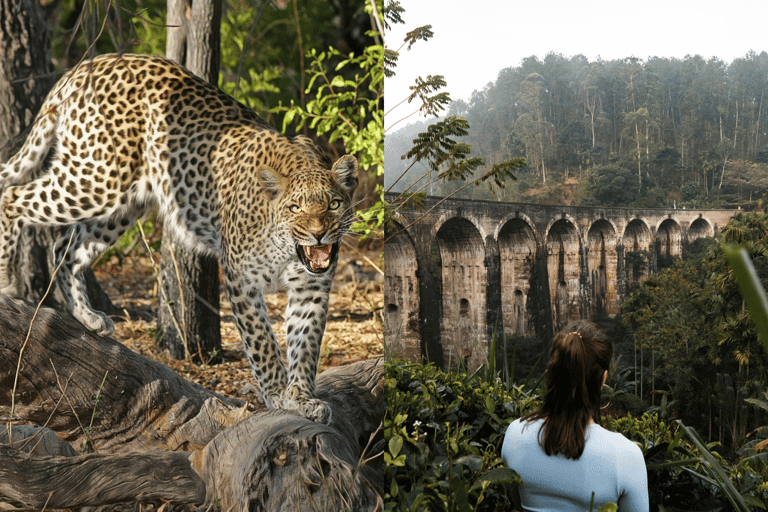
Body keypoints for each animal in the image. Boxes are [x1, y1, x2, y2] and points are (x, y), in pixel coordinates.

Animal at [0, 54, 358, 424]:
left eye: (334, 204)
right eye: (295, 207)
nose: (318, 234)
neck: (287, 249)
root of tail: (89, 64)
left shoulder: (312, 288)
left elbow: (306, 344)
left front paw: (302, 398)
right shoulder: (241, 280)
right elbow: (263, 343)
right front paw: (277, 396)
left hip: (124, 204)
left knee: (65, 248)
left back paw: (88, 316)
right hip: (95, 179)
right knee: (12, 196)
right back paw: (6, 281)